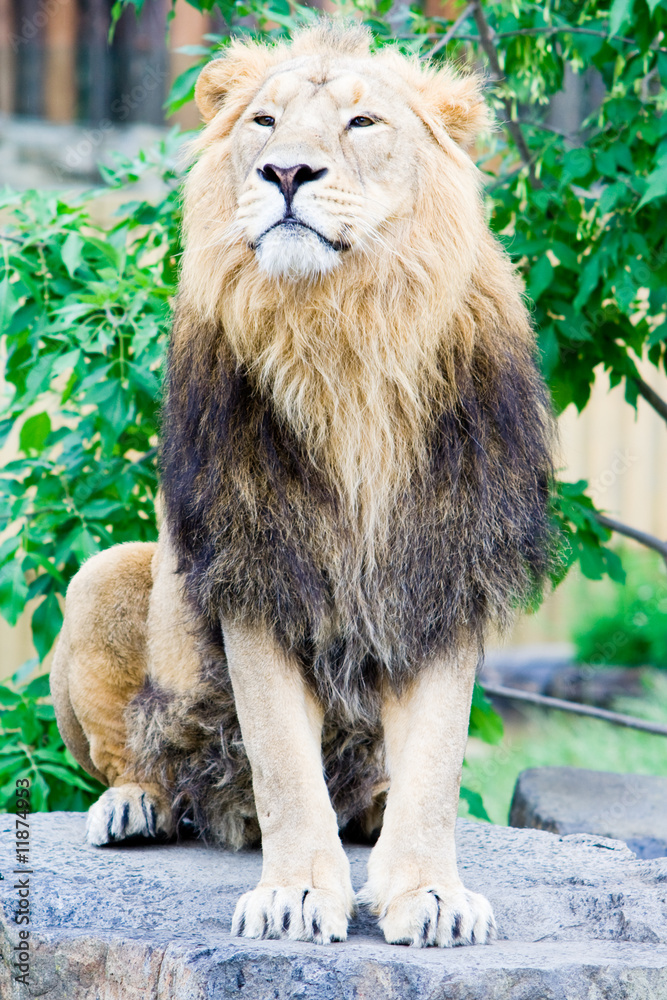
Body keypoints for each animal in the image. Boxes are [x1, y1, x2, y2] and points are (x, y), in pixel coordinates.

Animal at [51, 22, 554, 949]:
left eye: (361, 122)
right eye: (263, 122)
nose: (285, 172)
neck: (343, 333)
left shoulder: (443, 569)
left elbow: (436, 761)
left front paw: (429, 892)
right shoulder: (255, 570)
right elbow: (284, 765)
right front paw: (294, 896)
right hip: (105, 576)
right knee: (140, 757)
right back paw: (134, 806)